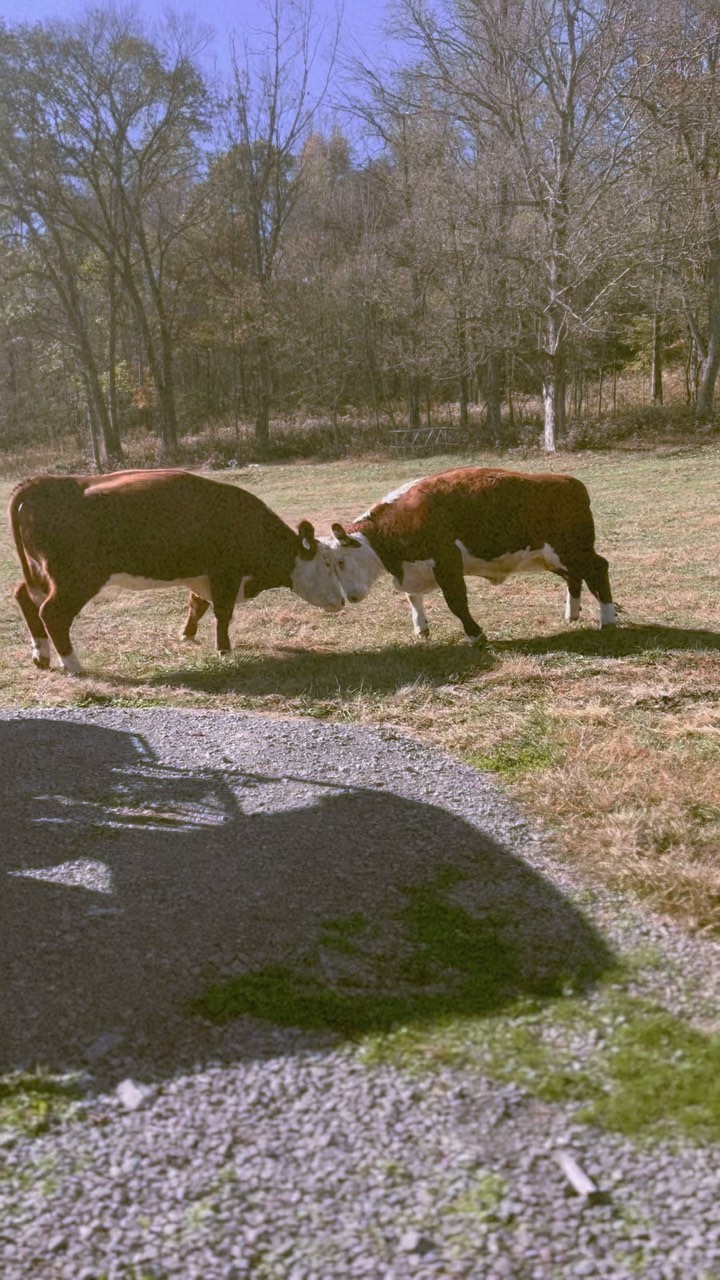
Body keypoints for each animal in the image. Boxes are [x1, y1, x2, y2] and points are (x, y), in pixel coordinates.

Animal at [9, 468, 345, 674]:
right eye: (327, 563)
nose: (342, 602)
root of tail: (42, 482)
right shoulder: (225, 574)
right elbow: (223, 614)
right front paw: (225, 652)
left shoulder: (202, 578)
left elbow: (197, 606)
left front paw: (187, 635)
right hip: (76, 579)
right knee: (52, 612)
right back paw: (73, 665)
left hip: (41, 575)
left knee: (25, 598)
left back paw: (41, 656)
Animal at [328, 467, 616, 645]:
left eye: (341, 561)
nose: (351, 597)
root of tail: (571, 483)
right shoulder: (415, 568)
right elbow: (412, 596)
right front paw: (421, 628)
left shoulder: (447, 563)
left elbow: (456, 603)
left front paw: (475, 635)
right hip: (553, 557)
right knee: (574, 577)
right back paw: (572, 615)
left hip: (572, 551)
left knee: (598, 569)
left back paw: (608, 620)